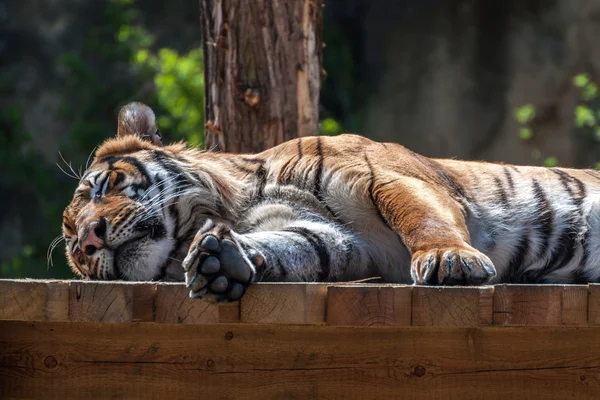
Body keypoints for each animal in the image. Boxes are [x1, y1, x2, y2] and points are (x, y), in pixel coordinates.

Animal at [59, 101, 600, 302]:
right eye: (71, 248)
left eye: (103, 188)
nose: (89, 242)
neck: (233, 205)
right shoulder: (341, 242)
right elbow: (293, 246)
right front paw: (219, 265)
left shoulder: (385, 176)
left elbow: (422, 219)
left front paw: (451, 260)